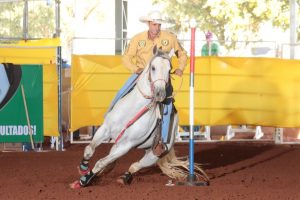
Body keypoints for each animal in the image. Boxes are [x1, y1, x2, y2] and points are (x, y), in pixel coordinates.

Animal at [70, 47, 209, 189]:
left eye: (169, 69)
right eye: (153, 67)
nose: (160, 93)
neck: (131, 111)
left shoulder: (126, 145)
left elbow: (100, 162)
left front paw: (83, 181)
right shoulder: (105, 129)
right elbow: (89, 150)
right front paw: (83, 169)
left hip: (152, 155)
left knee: (134, 166)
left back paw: (123, 178)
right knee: (112, 161)